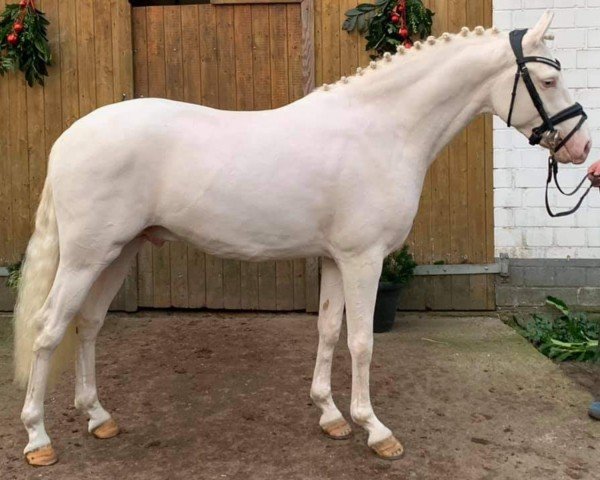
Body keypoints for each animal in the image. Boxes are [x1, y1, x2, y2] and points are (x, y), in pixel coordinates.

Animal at [12, 11, 592, 464]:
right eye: (546, 82)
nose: (581, 147)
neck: (382, 129)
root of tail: (69, 137)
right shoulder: (364, 260)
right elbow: (361, 342)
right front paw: (374, 429)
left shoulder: (336, 259)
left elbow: (329, 332)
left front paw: (330, 415)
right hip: (85, 258)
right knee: (48, 329)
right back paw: (38, 438)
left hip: (117, 253)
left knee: (87, 325)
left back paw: (98, 417)